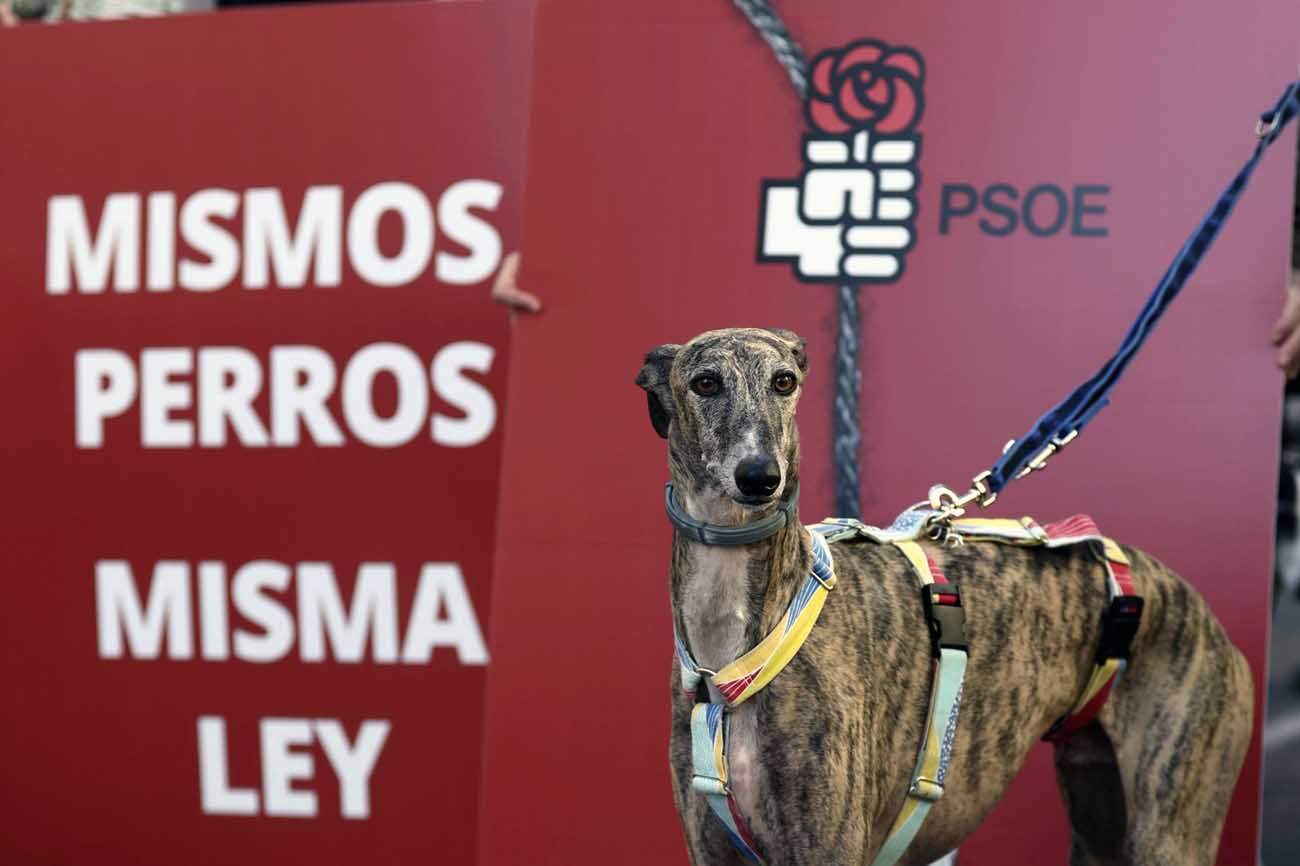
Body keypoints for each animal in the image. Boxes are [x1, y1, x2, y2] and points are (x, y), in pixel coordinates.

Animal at [634, 325, 1253, 863]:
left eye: (784, 382)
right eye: (705, 383)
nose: (762, 477)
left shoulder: (828, 846)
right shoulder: (711, 848)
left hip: (1169, 827)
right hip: (1100, 817)